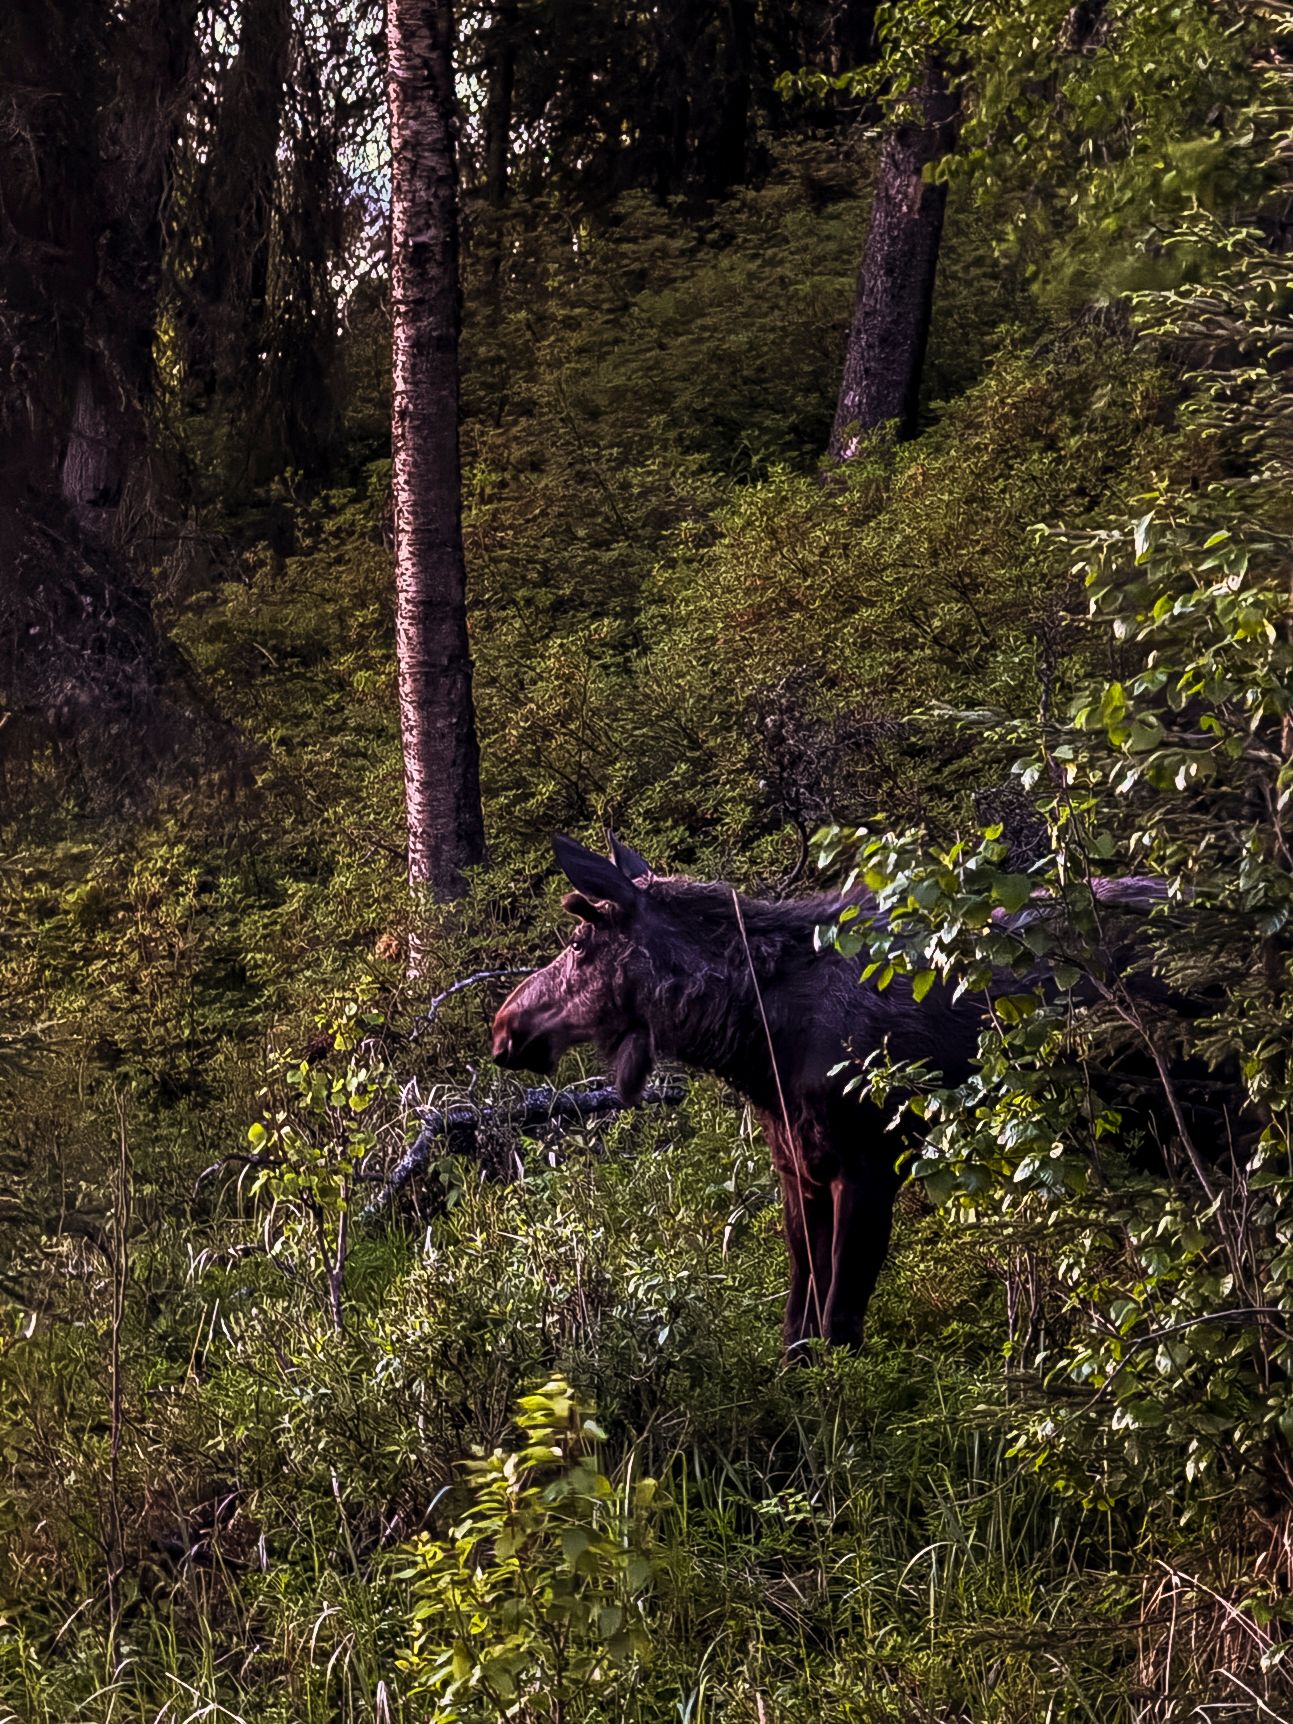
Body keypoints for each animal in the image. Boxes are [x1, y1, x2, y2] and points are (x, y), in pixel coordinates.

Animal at [491, 834, 1173, 1351]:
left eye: (578, 943)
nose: (504, 1027)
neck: (755, 1039)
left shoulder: (871, 1162)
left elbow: (839, 1319)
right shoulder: (799, 1168)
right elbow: (799, 1317)